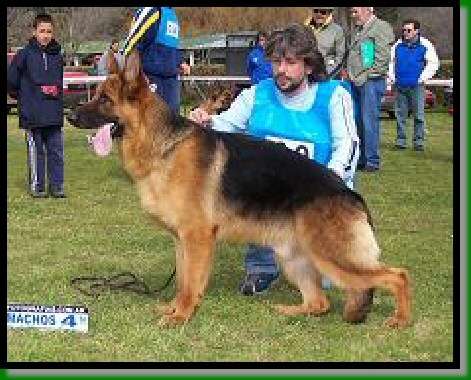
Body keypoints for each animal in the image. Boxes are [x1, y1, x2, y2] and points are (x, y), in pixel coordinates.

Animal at [67, 50, 412, 328]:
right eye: (96, 94)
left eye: (105, 100)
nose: (69, 114)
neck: (163, 146)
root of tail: (349, 194)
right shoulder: (182, 241)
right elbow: (182, 281)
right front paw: (174, 309)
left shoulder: (197, 238)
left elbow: (190, 284)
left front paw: (181, 317)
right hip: (295, 259)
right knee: (319, 303)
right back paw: (289, 311)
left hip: (332, 257)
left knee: (397, 275)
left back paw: (400, 320)